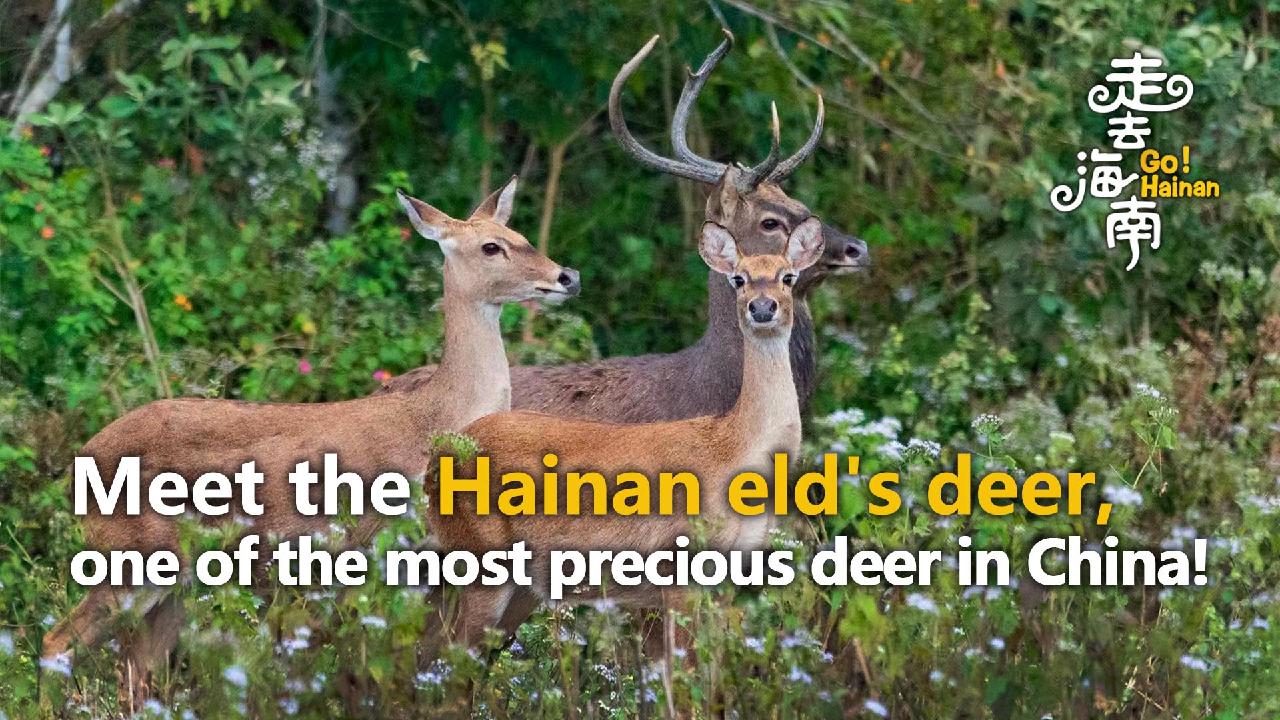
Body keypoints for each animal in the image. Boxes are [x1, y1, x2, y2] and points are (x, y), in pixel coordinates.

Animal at [40, 176, 580, 702]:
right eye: (491, 246)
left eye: (523, 235)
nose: (567, 276)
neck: (435, 421)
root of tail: (78, 462)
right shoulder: (368, 548)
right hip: (130, 559)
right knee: (57, 642)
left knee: (138, 668)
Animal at [424, 219, 822, 711]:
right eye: (739, 278)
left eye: (788, 276)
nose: (762, 307)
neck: (734, 449)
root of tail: (438, 456)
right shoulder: (679, 569)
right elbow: (683, 689)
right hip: (479, 559)